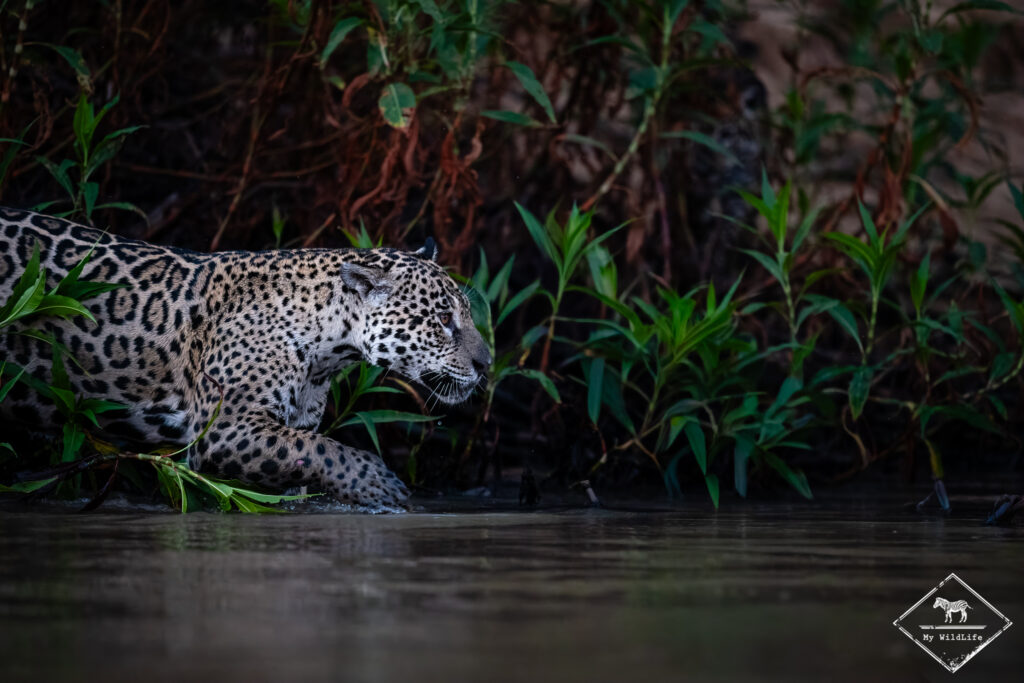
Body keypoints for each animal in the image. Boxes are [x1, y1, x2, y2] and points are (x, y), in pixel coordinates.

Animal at [0, 206, 491, 508]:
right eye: (443, 318)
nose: (487, 364)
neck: (328, 350)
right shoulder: (226, 427)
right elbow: (327, 450)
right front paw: (379, 484)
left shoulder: (292, 427)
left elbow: (310, 458)